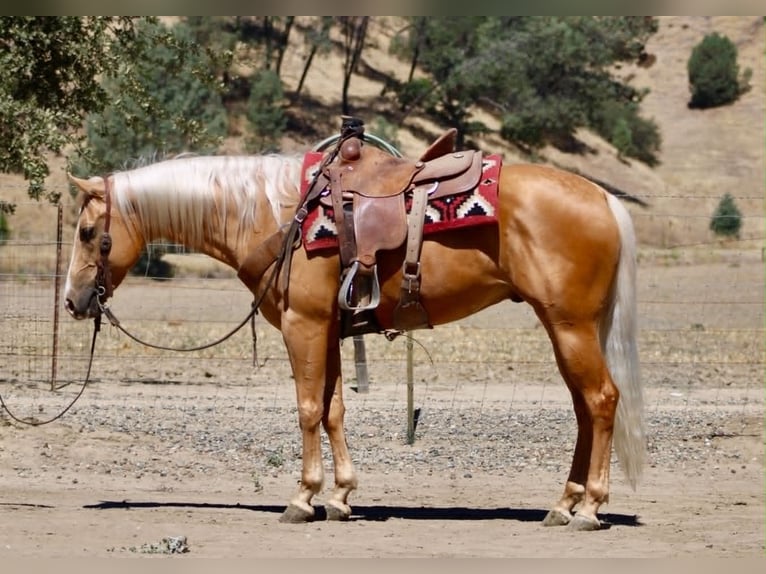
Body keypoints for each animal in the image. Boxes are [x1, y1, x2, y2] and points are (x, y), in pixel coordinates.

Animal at [63, 141, 645, 531]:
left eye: (88, 232)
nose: (72, 300)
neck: (275, 213)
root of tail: (603, 198)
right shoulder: (329, 330)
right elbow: (334, 408)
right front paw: (341, 496)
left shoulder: (302, 325)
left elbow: (306, 409)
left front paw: (302, 497)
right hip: (566, 329)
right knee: (584, 409)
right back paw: (564, 503)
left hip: (570, 327)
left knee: (601, 400)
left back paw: (590, 507)